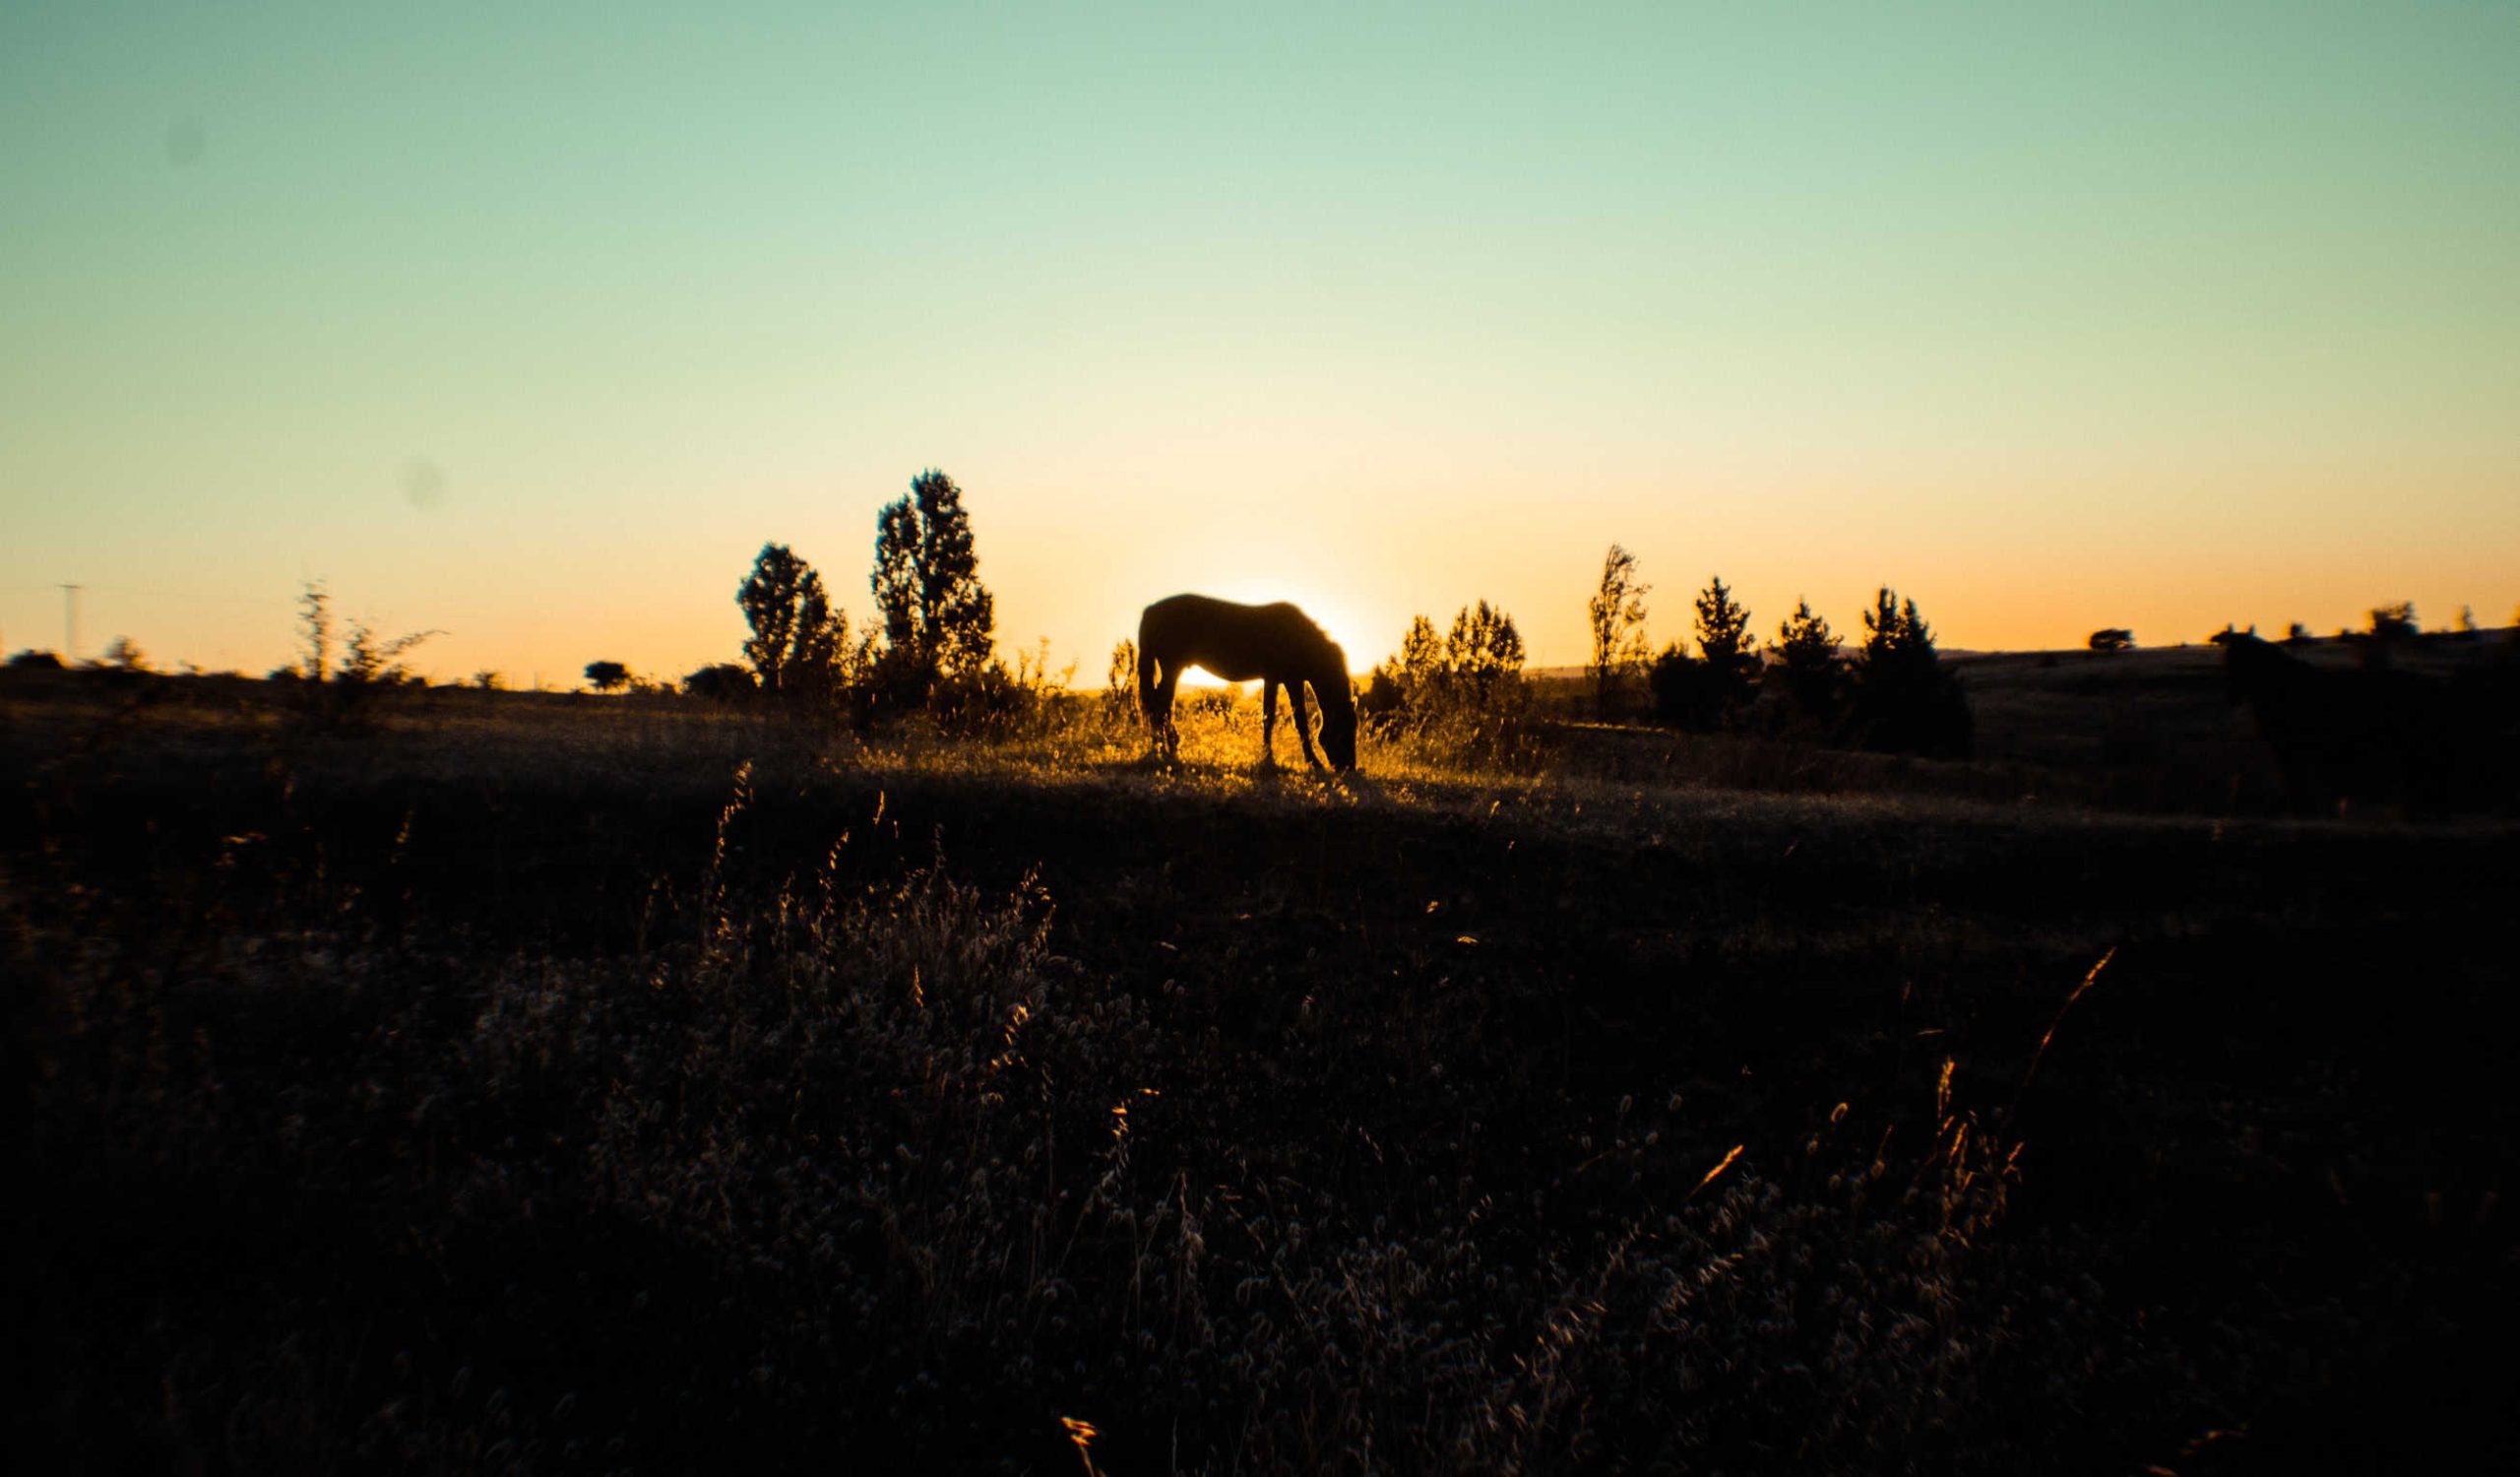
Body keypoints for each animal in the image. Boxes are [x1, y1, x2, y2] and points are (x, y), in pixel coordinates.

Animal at [1137, 594, 1358, 771]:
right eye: (1346, 728)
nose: (1349, 768)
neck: (1300, 639)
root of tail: (1151, 610)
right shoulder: (1288, 680)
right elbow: (1292, 721)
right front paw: (1311, 762)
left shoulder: (1278, 679)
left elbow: (1273, 718)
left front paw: (1270, 757)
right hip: (1172, 667)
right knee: (1160, 706)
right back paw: (1166, 749)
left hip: (1172, 669)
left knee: (1162, 705)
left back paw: (1165, 748)